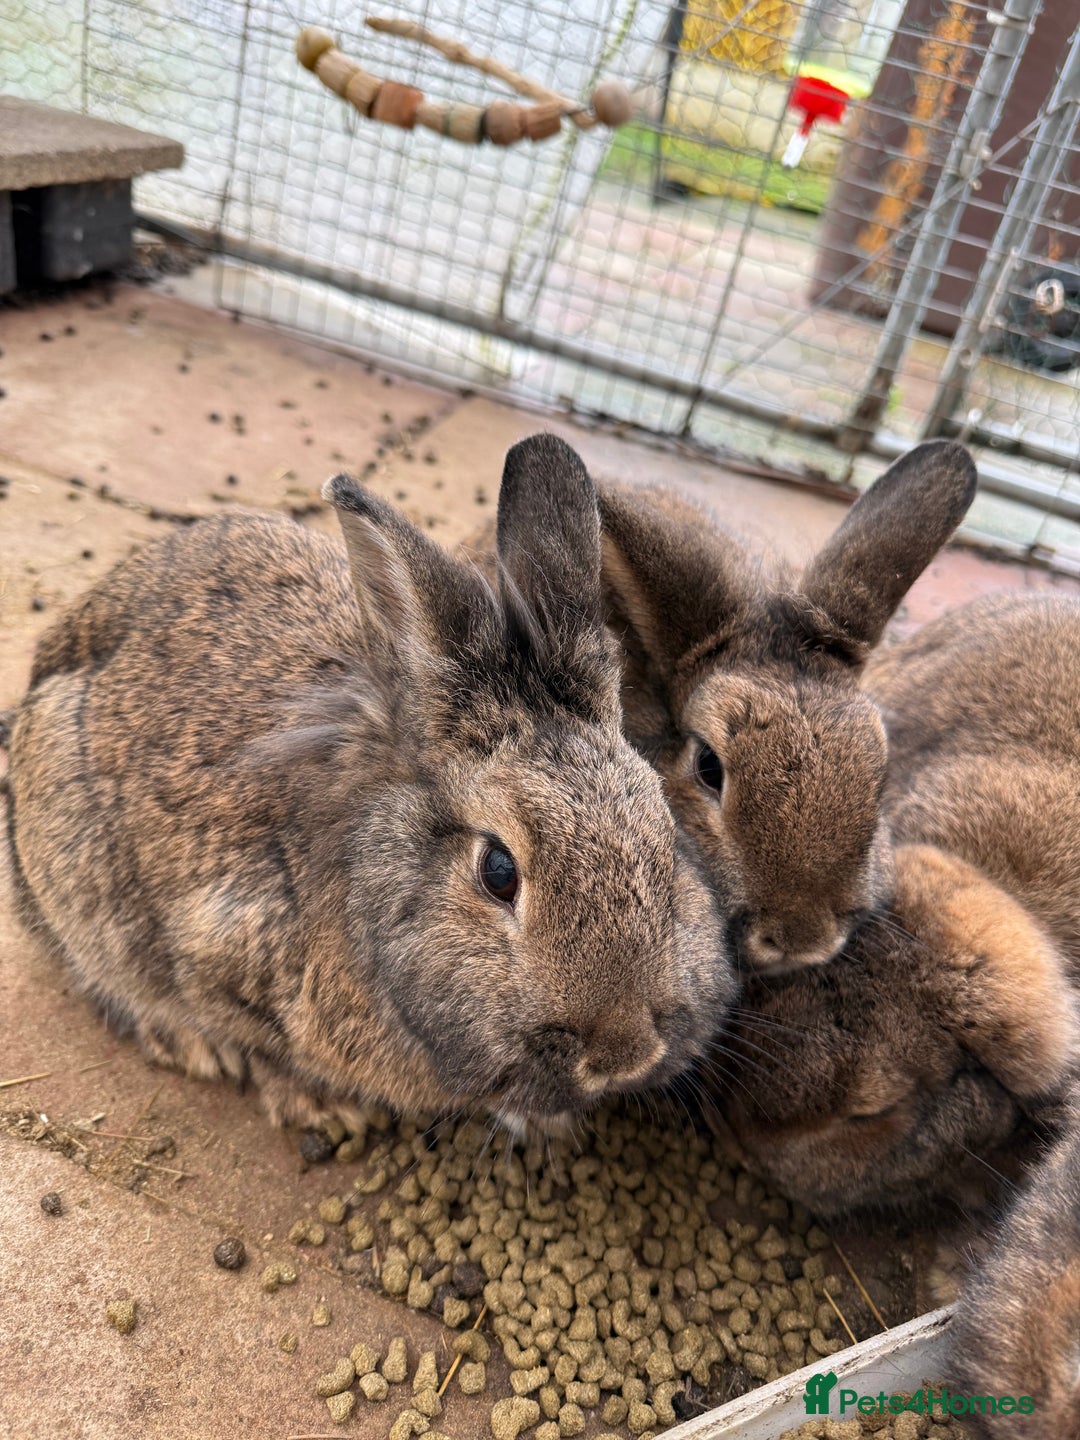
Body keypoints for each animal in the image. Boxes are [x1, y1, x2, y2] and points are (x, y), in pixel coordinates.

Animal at [4, 434, 731, 1133]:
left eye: (666, 844)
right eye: (499, 873)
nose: (626, 1053)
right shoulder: (215, 949)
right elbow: (258, 1042)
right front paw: (320, 1107)